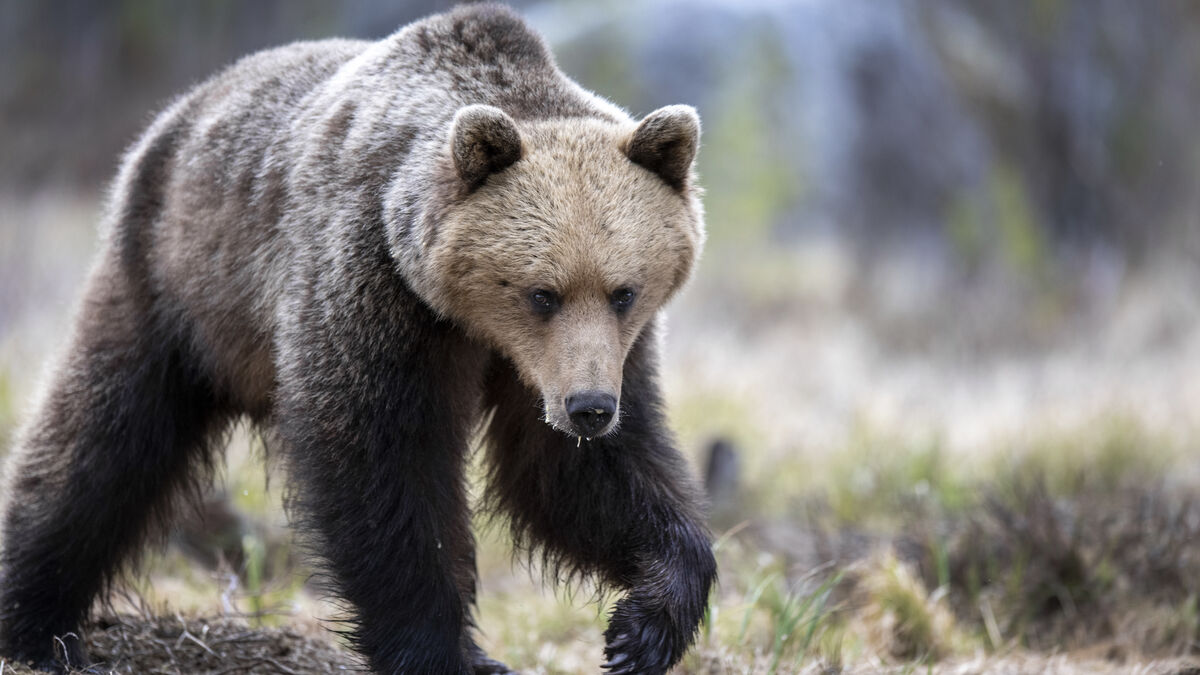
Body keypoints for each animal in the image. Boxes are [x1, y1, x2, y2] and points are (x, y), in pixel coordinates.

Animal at [0, 4, 716, 674]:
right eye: (542, 293)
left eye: (624, 291)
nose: (589, 408)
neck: (468, 319)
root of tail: (184, 105)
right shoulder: (374, 289)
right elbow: (380, 465)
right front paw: (438, 652)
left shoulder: (584, 359)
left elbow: (576, 474)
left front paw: (642, 628)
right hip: (175, 279)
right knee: (104, 435)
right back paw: (37, 623)